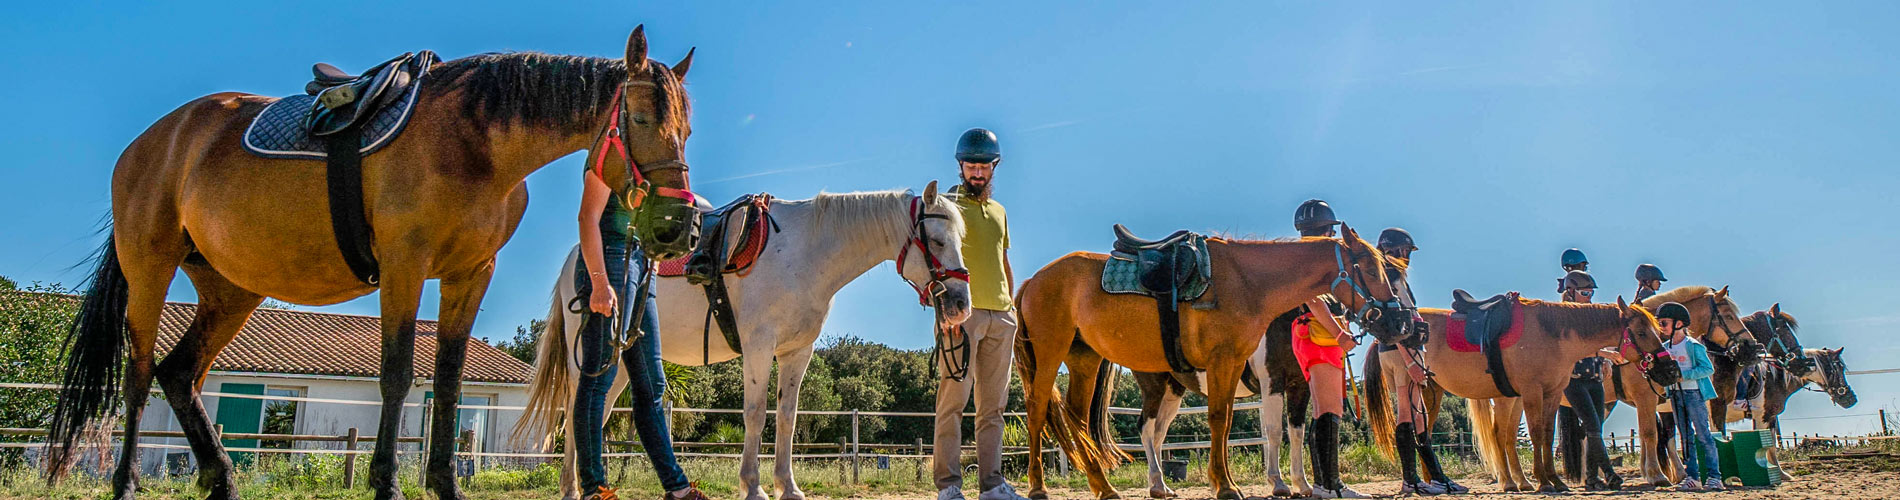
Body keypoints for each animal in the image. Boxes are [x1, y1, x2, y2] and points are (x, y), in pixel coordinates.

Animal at [44, 27, 699, 500]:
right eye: (642, 119)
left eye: (686, 128)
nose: (679, 224)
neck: (475, 141)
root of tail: (155, 139)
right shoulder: (405, 266)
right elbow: (398, 377)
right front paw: (387, 484)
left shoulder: (471, 274)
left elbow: (448, 382)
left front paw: (444, 485)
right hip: (148, 270)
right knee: (138, 375)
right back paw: (126, 484)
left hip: (230, 289)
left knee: (180, 375)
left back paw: (222, 478)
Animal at [513, 187, 972, 500]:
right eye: (936, 241)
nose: (960, 304)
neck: (806, 253)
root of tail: (577, 256)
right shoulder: (758, 348)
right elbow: (754, 414)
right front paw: (753, 487)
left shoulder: (796, 352)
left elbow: (786, 418)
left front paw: (788, 487)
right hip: (592, 359)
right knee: (579, 411)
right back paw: (572, 490)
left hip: (625, 362)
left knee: (597, 414)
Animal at [1010, 226, 1413, 500]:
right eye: (1372, 271)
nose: (1401, 323)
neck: (1249, 283)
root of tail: (1034, 280)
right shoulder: (1239, 368)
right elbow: (1227, 421)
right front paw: (1229, 485)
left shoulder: (1236, 367)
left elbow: (1235, 422)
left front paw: (1233, 481)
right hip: (1050, 355)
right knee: (1038, 410)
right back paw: (1038, 486)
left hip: (1085, 360)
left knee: (1082, 419)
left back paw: (1105, 486)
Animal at [1398, 298, 1679, 494]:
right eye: (1641, 333)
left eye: (1658, 331)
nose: (1670, 370)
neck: (1551, 334)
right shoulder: (1533, 391)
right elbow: (1535, 434)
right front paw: (1543, 481)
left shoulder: (1552, 393)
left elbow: (1546, 434)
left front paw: (1555, 480)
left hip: (1435, 392)